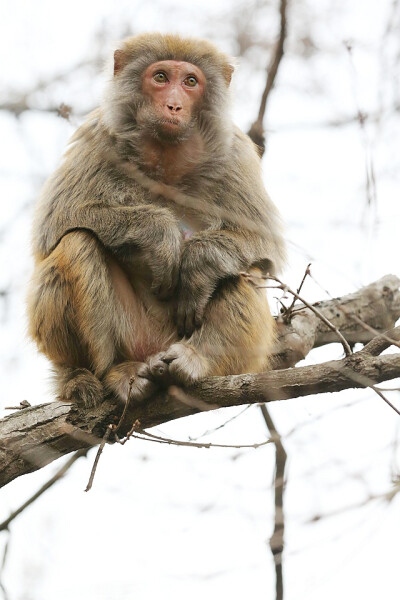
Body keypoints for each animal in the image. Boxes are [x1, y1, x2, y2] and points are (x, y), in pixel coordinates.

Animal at [26, 32, 286, 408]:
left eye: (190, 82)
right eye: (161, 77)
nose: (174, 105)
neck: (167, 157)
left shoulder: (234, 153)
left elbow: (263, 243)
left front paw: (197, 264)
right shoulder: (97, 137)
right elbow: (56, 223)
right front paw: (158, 233)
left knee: (243, 267)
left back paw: (195, 359)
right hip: (130, 334)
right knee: (77, 240)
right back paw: (99, 373)